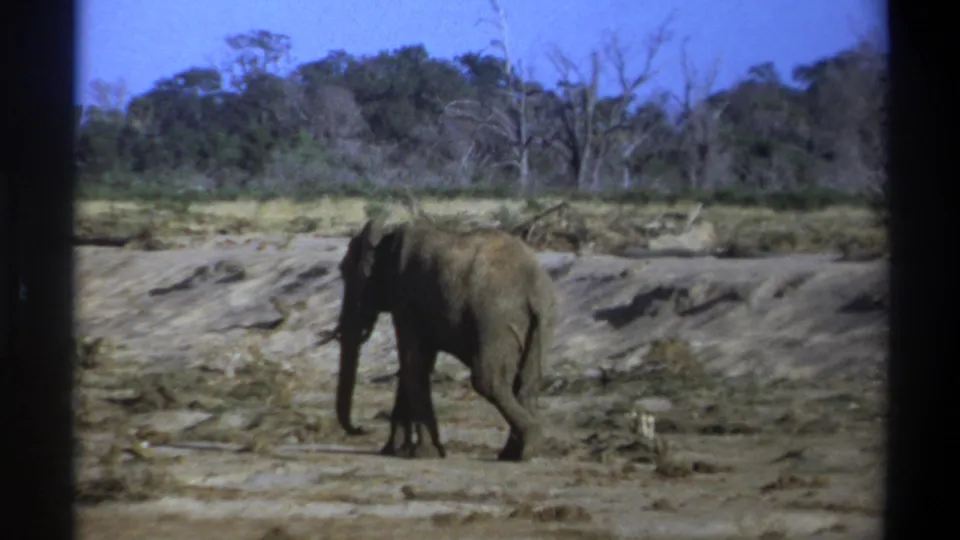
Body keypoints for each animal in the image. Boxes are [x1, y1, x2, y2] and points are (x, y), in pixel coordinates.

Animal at [321, 218, 557, 462]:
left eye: (345, 271)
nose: (361, 429)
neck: (387, 237)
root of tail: (533, 287)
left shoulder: (406, 300)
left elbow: (413, 362)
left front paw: (424, 453)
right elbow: (413, 365)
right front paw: (394, 451)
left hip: (495, 319)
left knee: (488, 381)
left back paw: (527, 445)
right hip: (542, 320)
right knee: (527, 383)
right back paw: (515, 453)